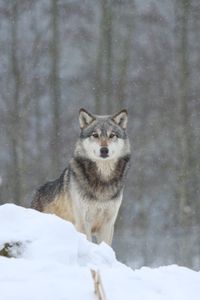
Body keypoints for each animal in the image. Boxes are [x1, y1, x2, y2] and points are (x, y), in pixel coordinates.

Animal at [30, 109, 131, 245]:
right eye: (95, 135)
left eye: (112, 135)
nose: (104, 150)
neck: (102, 179)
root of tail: (37, 192)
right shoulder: (83, 223)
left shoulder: (108, 225)